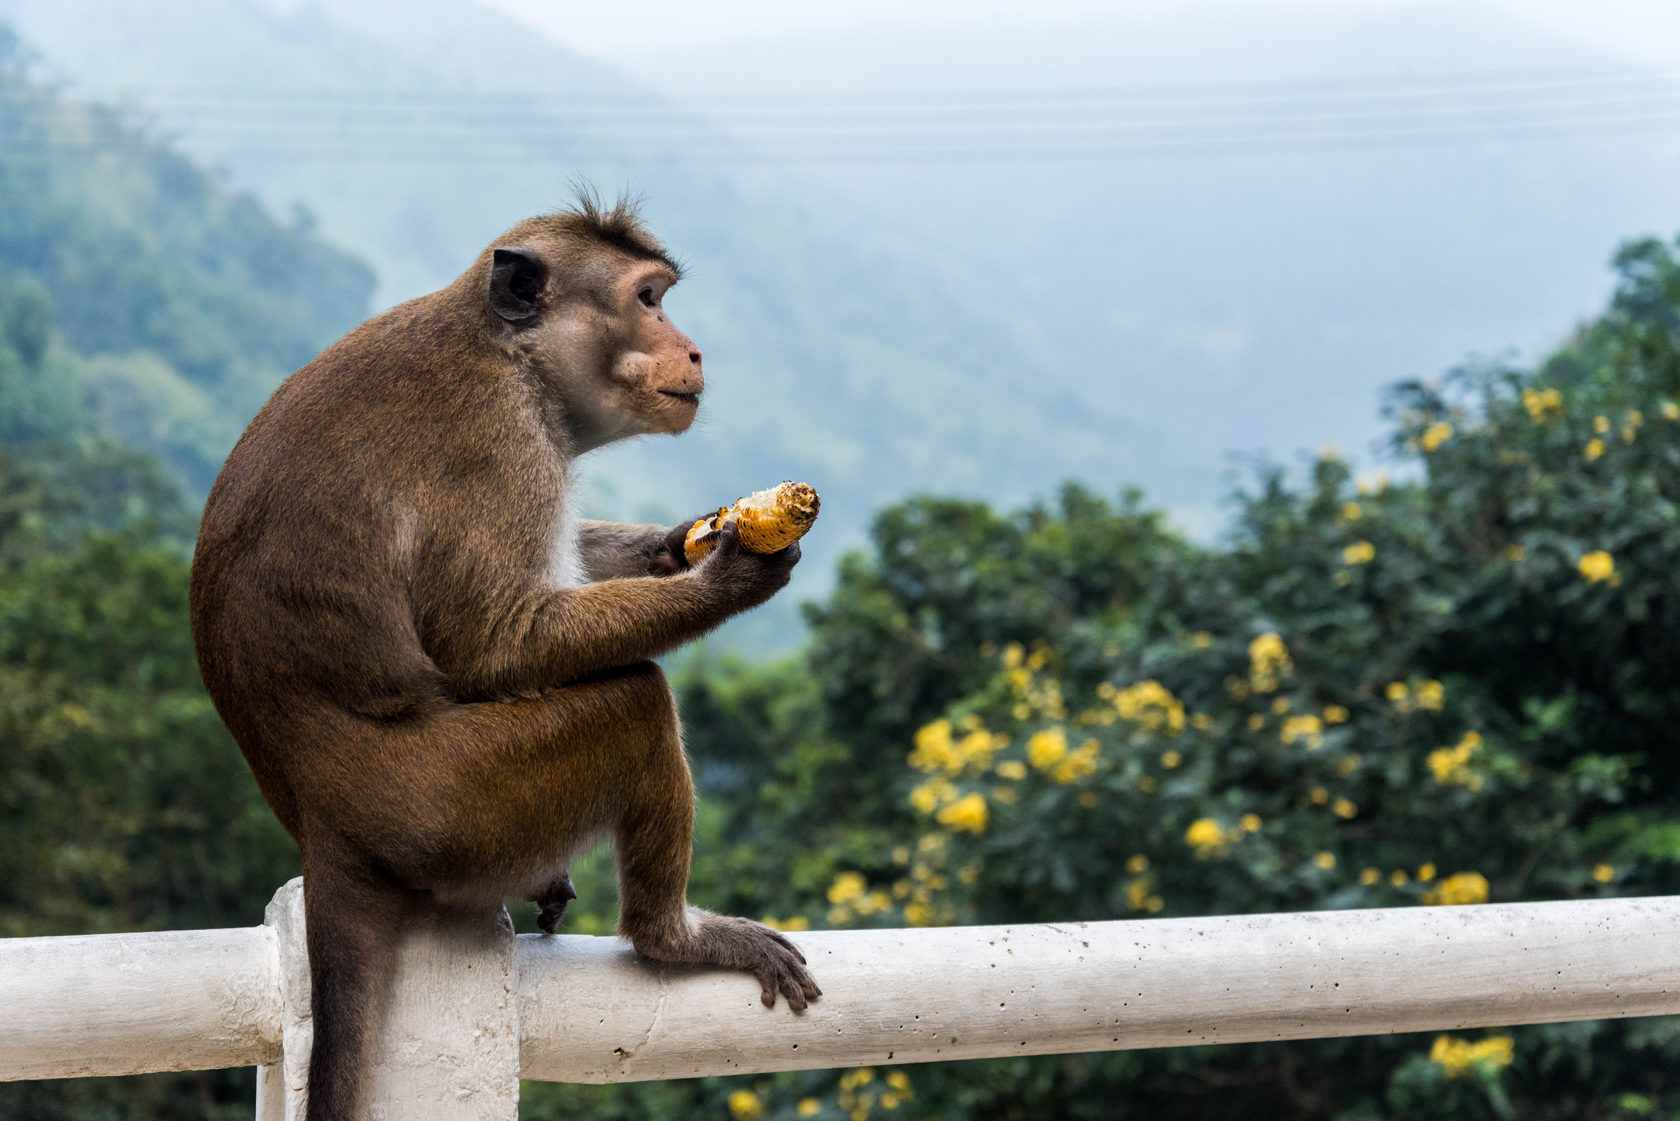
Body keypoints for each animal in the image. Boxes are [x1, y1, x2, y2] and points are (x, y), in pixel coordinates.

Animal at [190, 197, 819, 1115]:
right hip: (458, 812)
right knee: (634, 704)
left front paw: (683, 544)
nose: (696, 348)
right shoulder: (497, 446)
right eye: (648, 299)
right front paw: (728, 576)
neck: (508, 352)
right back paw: (669, 939)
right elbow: (498, 641)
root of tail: (321, 823)